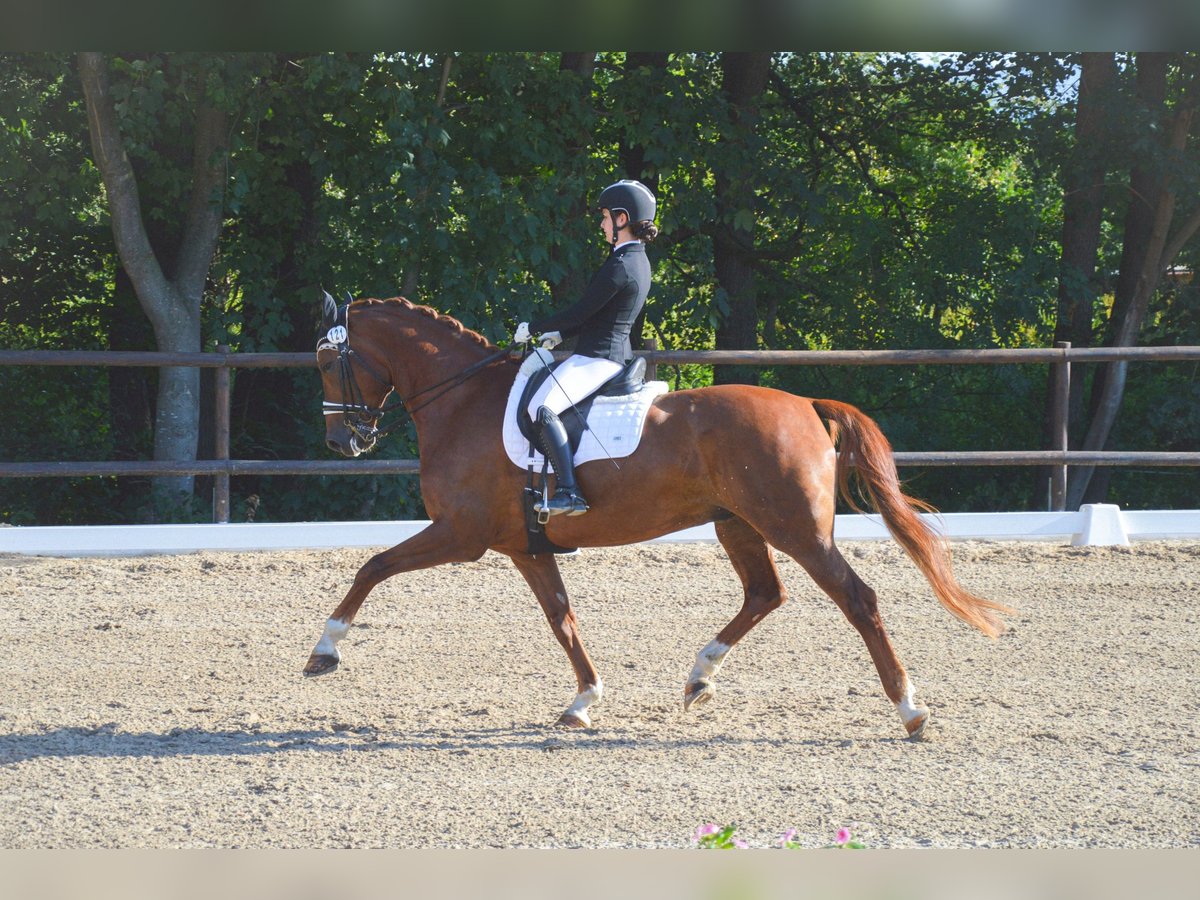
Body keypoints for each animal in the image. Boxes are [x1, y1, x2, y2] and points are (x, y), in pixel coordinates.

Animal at [304, 296, 1008, 739]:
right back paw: (699, 678)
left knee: (857, 599)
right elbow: (561, 618)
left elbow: (373, 566)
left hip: (797, 530)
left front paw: (324, 651)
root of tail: (805, 403)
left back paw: (910, 711)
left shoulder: (462, 534)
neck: (462, 399)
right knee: (765, 593)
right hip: (737, 523)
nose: (342, 442)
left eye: (325, 361)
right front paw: (583, 702)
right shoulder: (526, 547)